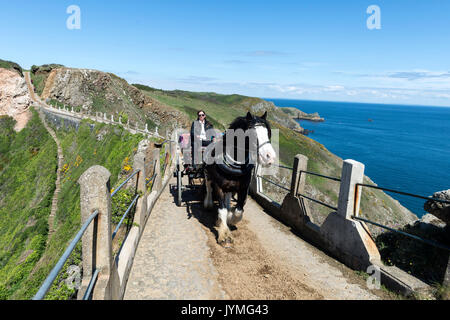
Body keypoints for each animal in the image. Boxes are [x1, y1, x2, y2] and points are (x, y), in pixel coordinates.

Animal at [202, 111, 276, 246]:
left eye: (268, 132)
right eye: (252, 133)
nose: (270, 158)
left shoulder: (243, 188)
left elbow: (238, 211)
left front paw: (230, 220)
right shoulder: (219, 186)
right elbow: (222, 210)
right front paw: (224, 234)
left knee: (227, 197)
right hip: (207, 174)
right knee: (208, 187)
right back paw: (208, 203)